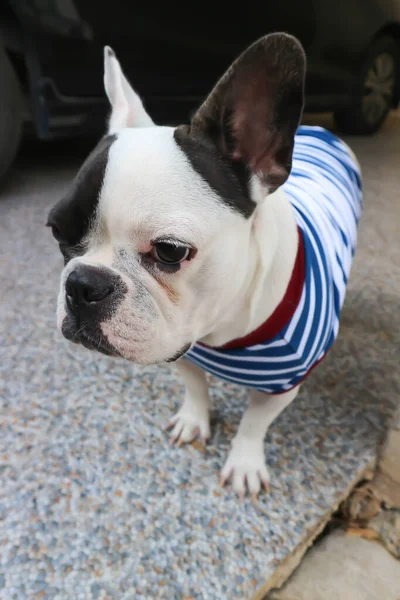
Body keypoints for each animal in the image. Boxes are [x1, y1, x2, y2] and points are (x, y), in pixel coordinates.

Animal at [47, 35, 362, 500]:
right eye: (56, 231)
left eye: (170, 251)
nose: (83, 285)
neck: (220, 331)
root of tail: (319, 130)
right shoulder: (179, 348)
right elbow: (195, 387)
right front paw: (195, 421)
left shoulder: (281, 387)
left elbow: (254, 423)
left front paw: (245, 462)